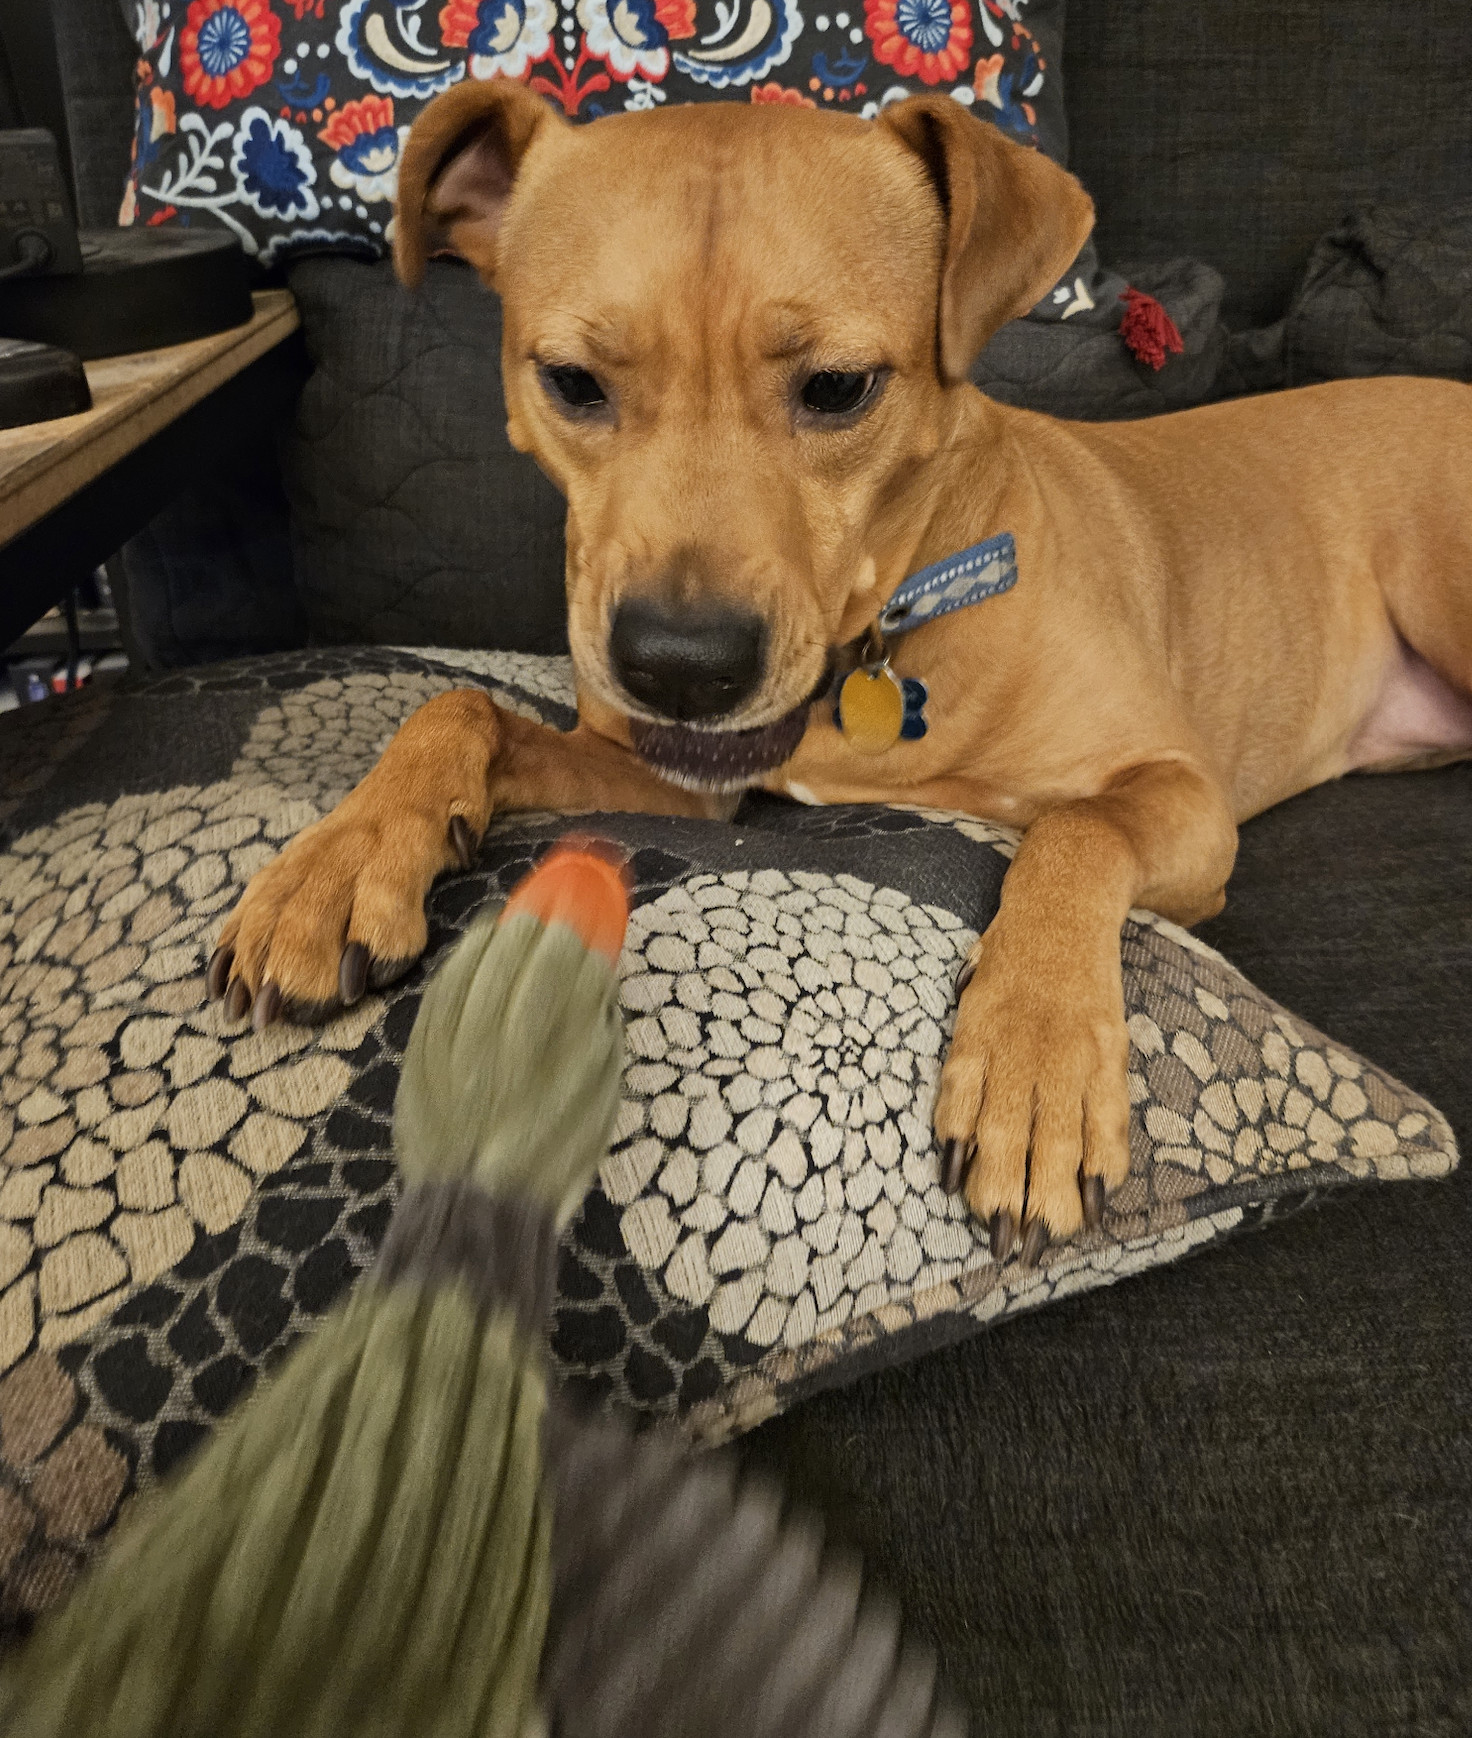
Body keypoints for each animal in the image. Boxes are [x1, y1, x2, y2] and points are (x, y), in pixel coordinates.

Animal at [206, 84, 1472, 1265]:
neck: (891, 618)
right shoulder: (667, 780)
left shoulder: (1180, 794)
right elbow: (455, 699)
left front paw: (1032, 1066)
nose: (681, 668)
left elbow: (1073, 830)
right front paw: (338, 863)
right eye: (568, 381)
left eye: (836, 388)